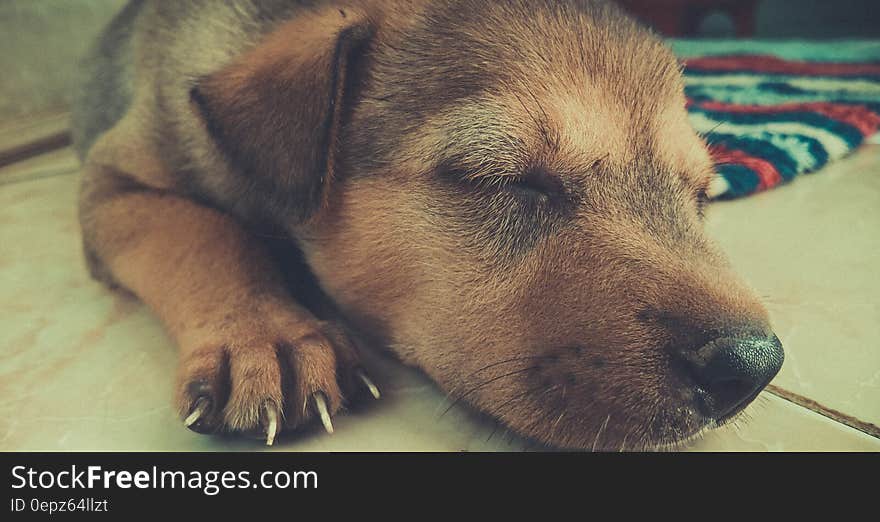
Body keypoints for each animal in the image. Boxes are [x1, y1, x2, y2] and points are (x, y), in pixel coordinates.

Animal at [70, 0, 784, 446]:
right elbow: (204, 235)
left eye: (701, 196)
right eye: (510, 179)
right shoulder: (111, 179)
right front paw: (264, 336)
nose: (752, 368)